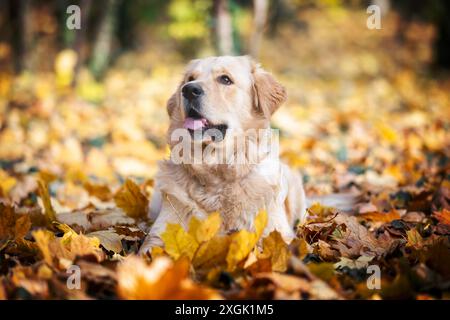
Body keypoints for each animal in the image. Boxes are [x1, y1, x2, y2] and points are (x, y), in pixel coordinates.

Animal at [141, 55, 308, 255]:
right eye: (190, 78)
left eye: (225, 79)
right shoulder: (158, 236)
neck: (217, 173)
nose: (188, 90)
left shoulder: (276, 234)